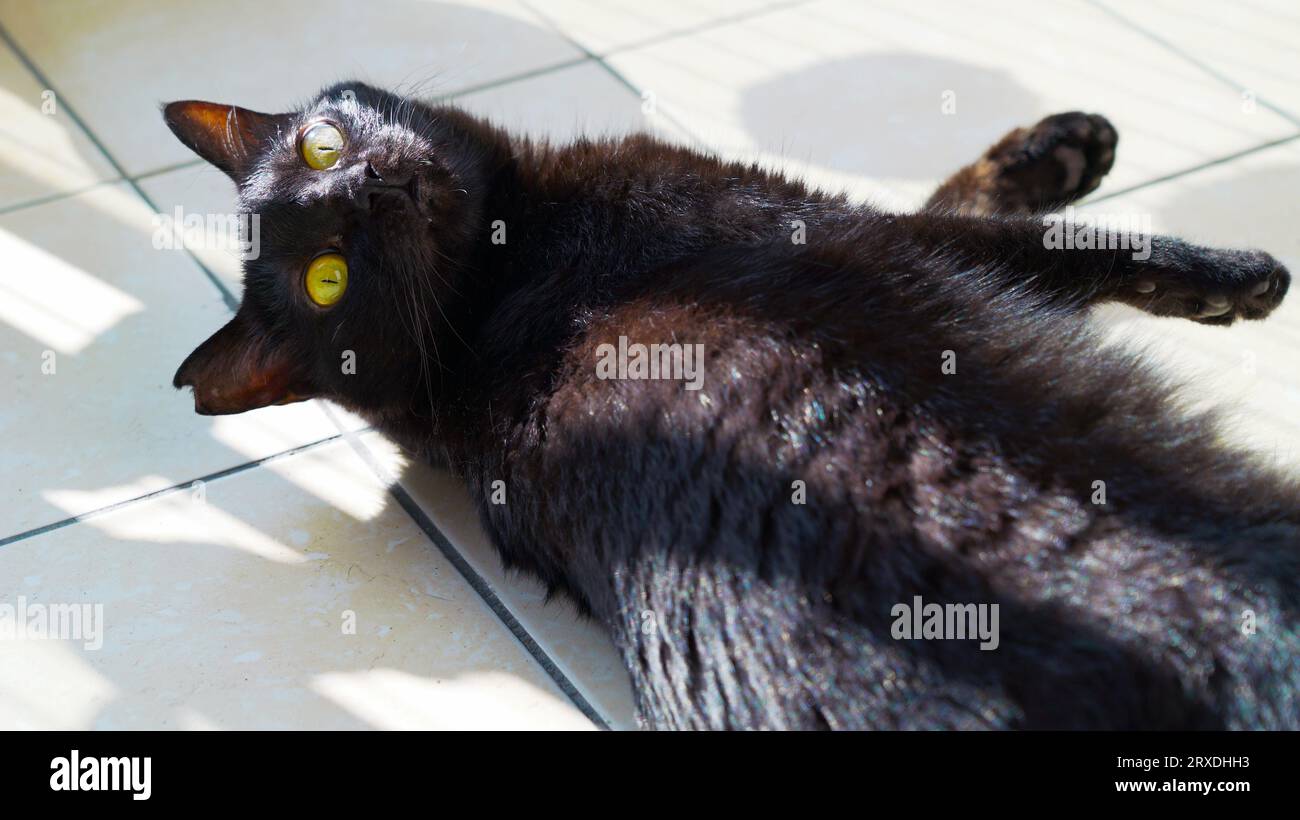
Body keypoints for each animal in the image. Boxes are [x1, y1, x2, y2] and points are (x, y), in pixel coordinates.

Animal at [167, 83, 1294, 727]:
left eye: (320, 146)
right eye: (326, 279)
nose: (362, 187)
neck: (497, 295)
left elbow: (968, 198)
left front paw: (1061, 148)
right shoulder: (839, 229)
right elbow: (1049, 244)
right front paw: (1229, 277)